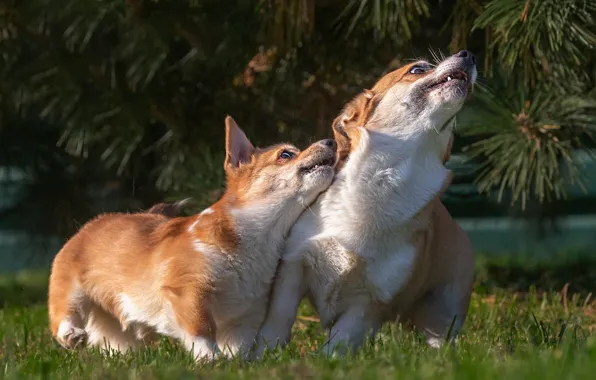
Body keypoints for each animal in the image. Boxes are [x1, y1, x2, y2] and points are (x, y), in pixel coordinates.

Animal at [49, 116, 338, 362]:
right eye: (286, 154)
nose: (331, 141)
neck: (257, 238)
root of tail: (90, 224)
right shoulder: (189, 289)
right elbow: (201, 326)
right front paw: (208, 356)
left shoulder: (245, 316)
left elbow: (239, 346)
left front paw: (236, 364)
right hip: (71, 286)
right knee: (62, 314)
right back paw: (70, 334)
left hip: (121, 333)